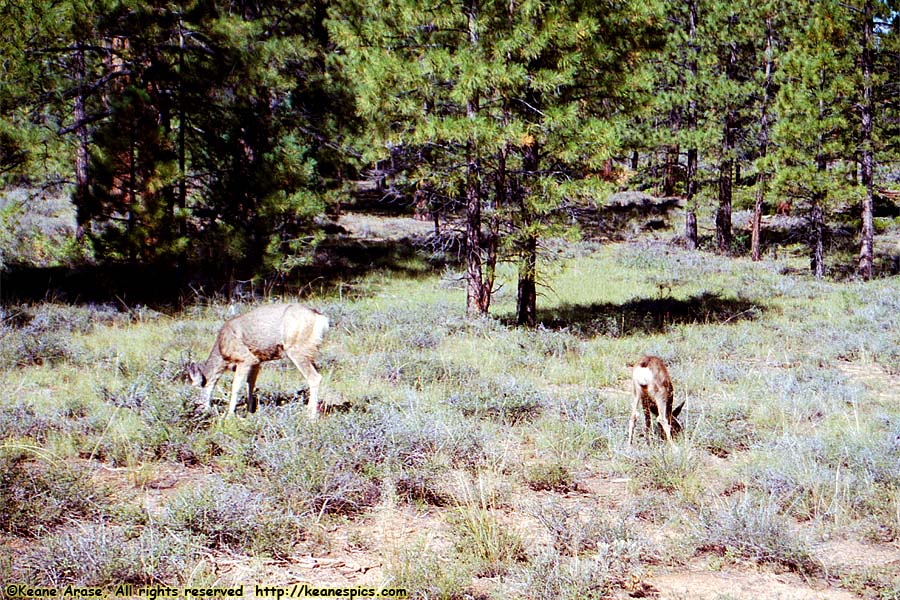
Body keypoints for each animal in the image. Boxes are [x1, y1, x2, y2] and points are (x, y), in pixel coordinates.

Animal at [188, 302, 328, 420]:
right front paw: (250, 411)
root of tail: (321, 319)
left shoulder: (245, 358)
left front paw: (229, 415)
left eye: (197, 390)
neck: (222, 352)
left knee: (314, 377)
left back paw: (310, 416)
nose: (198, 412)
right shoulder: (257, 361)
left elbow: (236, 385)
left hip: (296, 350)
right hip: (310, 353)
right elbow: (250, 384)